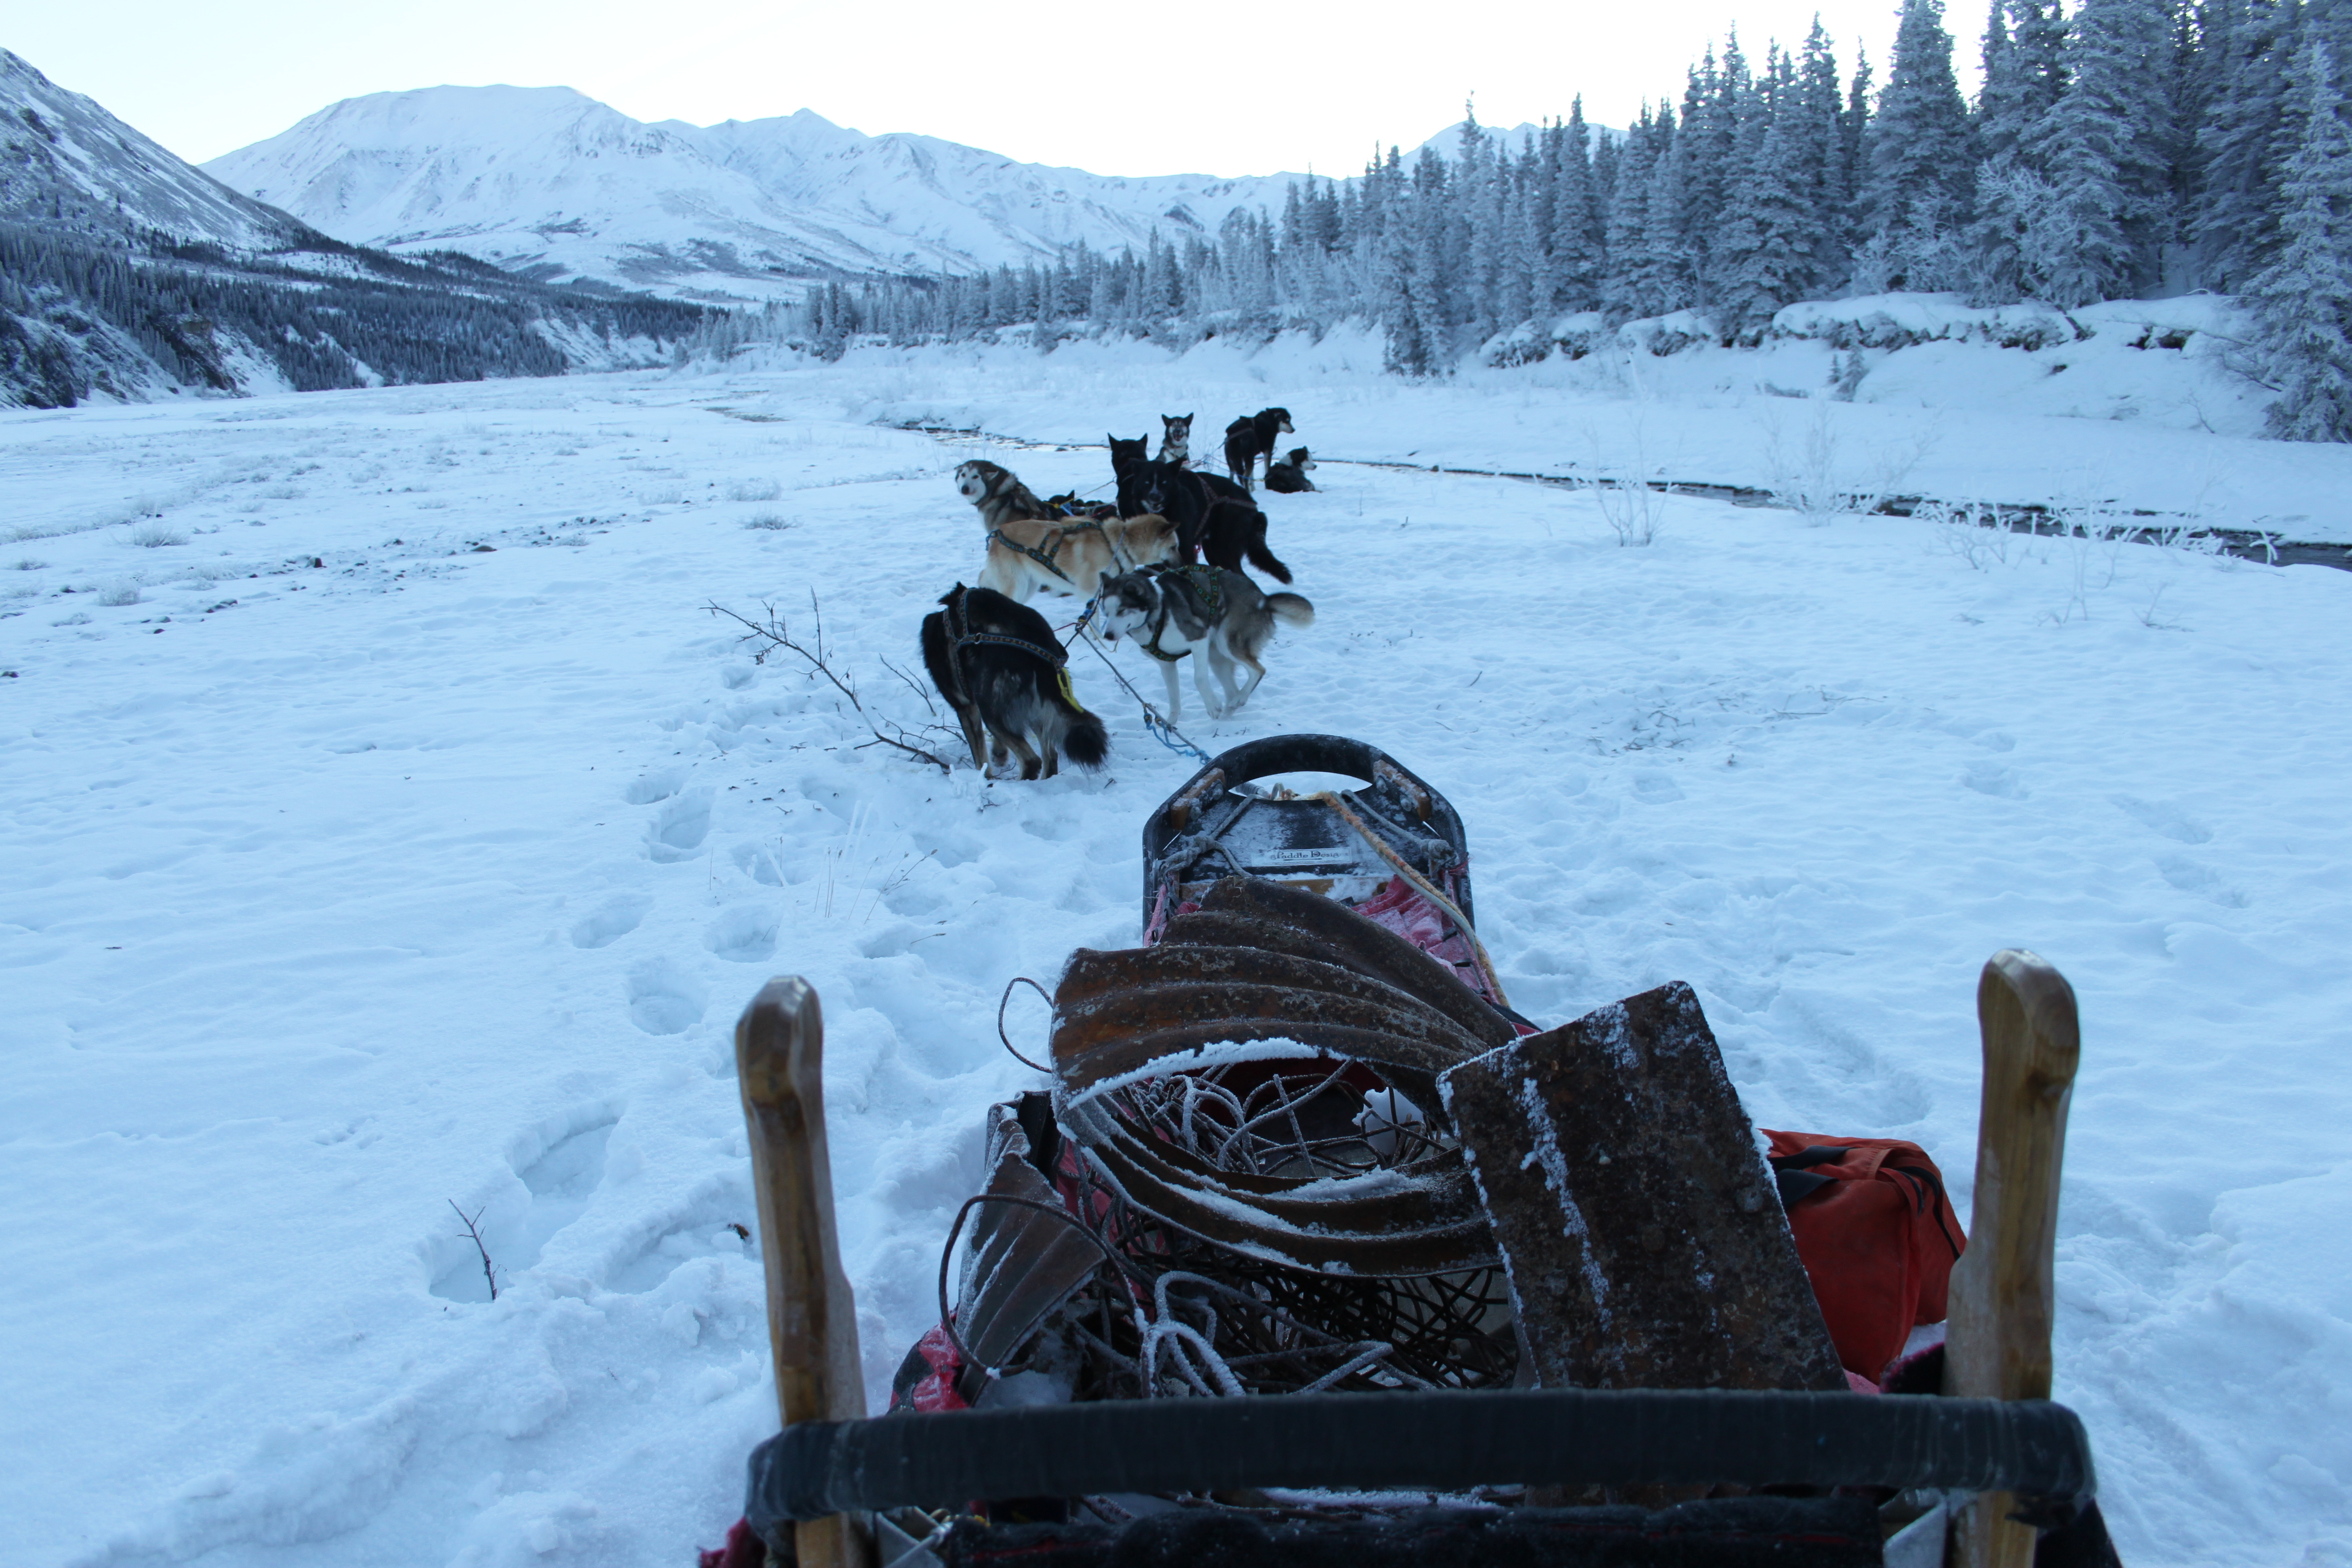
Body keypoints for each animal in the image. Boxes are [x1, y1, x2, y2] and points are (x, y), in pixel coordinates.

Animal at [912, 583, 1105, 780]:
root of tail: (1041, 649)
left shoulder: (966, 707)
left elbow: (981, 760)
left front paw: (985, 779)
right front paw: (999, 753)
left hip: (991, 710)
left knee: (1031, 760)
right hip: (1036, 709)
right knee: (1051, 757)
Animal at [1096, 564, 1317, 724]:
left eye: (1122, 610)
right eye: (1106, 612)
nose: (1108, 635)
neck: (1158, 613)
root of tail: (1263, 599)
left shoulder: (1198, 640)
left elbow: (1199, 678)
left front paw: (1212, 706)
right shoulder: (1167, 664)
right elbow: (1173, 697)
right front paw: (1171, 725)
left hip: (1227, 643)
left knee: (1258, 671)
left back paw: (1238, 701)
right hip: (1216, 657)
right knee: (1233, 689)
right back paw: (1230, 710)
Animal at [1223, 404, 1298, 491]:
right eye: (1287, 420)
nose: (1293, 430)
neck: (1269, 421)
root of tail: (1233, 433)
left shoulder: (1251, 458)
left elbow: (1251, 477)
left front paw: (1253, 489)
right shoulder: (1268, 452)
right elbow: (1266, 471)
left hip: (1233, 461)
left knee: (1233, 476)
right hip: (1247, 458)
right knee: (1244, 477)